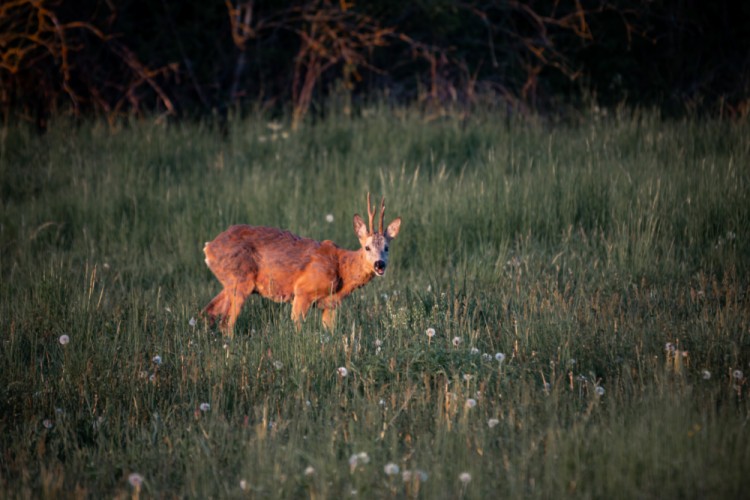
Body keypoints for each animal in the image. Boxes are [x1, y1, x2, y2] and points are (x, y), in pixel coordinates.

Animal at [200, 193, 400, 334]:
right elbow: (297, 327)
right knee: (226, 323)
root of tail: (209, 247)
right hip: (240, 280)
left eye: (387, 248)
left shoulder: (330, 304)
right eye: (367, 247)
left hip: (230, 283)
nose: (379, 264)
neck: (342, 268)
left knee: (208, 312)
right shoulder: (303, 291)